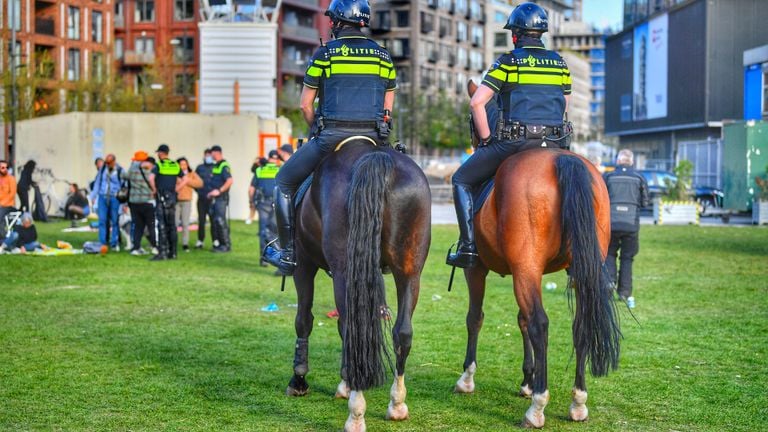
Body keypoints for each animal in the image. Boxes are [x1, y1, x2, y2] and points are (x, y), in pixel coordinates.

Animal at [286, 138, 436, 432]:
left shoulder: (304, 264)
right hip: (410, 271)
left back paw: (356, 414)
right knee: (402, 333)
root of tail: (375, 158)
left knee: (352, 329)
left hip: (344, 271)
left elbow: (304, 321)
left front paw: (300, 380)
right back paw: (397, 404)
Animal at [452, 82, 620, 428]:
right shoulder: (529, 270)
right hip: (578, 269)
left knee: (540, 323)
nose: (477, 142)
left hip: (522, 268)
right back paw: (577, 402)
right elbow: (521, 319)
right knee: (578, 325)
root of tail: (559, 160)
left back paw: (538, 407)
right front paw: (527, 380)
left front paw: (467, 378)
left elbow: (475, 318)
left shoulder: (477, 270)